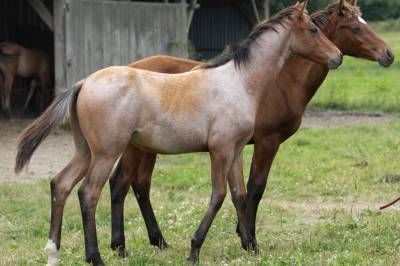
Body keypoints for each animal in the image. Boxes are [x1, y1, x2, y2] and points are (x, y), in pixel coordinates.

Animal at [14, 1, 342, 264]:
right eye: (313, 29)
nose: (337, 56)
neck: (239, 82)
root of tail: (83, 83)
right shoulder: (220, 150)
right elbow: (218, 195)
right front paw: (195, 249)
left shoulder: (236, 150)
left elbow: (239, 194)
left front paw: (251, 245)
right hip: (107, 152)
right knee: (88, 193)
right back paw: (95, 256)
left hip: (85, 151)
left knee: (61, 184)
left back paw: (53, 251)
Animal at [104, 0, 396, 258]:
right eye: (355, 28)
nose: (389, 54)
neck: (278, 81)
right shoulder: (268, 141)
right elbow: (256, 187)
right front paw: (249, 239)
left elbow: (243, 191)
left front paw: (244, 234)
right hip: (134, 147)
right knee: (121, 183)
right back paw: (120, 246)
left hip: (147, 147)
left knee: (140, 185)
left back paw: (158, 241)